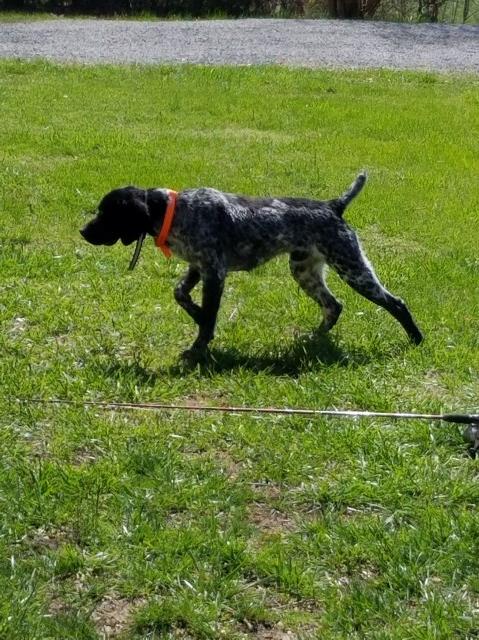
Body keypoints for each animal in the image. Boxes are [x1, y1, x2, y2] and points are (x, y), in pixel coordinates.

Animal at [81, 172, 424, 358]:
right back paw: (314, 338)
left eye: (106, 213)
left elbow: (207, 319)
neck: (172, 211)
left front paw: (198, 348)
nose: (83, 231)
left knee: (396, 303)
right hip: (304, 271)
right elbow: (180, 294)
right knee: (334, 306)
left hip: (352, 267)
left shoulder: (214, 273)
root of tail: (332, 206)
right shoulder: (199, 267)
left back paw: (416, 340)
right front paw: (196, 314)